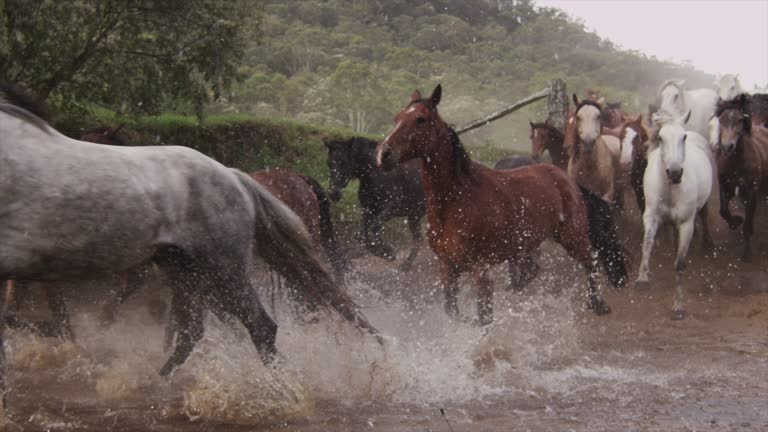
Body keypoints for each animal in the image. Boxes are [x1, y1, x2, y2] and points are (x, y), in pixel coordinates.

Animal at [320, 137, 424, 272]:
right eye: (329, 163)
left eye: (343, 162)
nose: (333, 193)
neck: (376, 174)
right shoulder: (369, 209)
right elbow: (362, 235)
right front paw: (384, 253)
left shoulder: (392, 208)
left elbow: (374, 227)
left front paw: (388, 251)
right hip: (414, 216)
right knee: (418, 239)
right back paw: (405, 266)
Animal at [376, 84, 628, 328]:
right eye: (397, 118)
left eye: (420, 119)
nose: (383, 154)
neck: (456, 202)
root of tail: (568, 180)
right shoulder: (447, 266)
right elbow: (452, 311)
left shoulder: (480, 269)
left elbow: (483, 318)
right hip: (526, 245)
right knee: (533, 270)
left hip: (572, 237)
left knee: (591, 261)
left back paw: (597, 304)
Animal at [636, 111, 712, 320]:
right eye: (661, 138)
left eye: (683, 137)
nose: (676, 172)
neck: (670, 190)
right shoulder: (651, 217)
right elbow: (647, 245)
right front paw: (642, 279)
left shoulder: (686, 224)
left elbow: (679, 264)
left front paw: (678, 307)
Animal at [712, 94, 768, 262]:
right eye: (721, 120)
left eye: (739, 120)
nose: (726, 147)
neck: (736, 163)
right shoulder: (725, 185)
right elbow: (723, 210)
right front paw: (735, 221)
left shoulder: (752, 191)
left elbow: (748, 222)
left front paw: (747, 254)